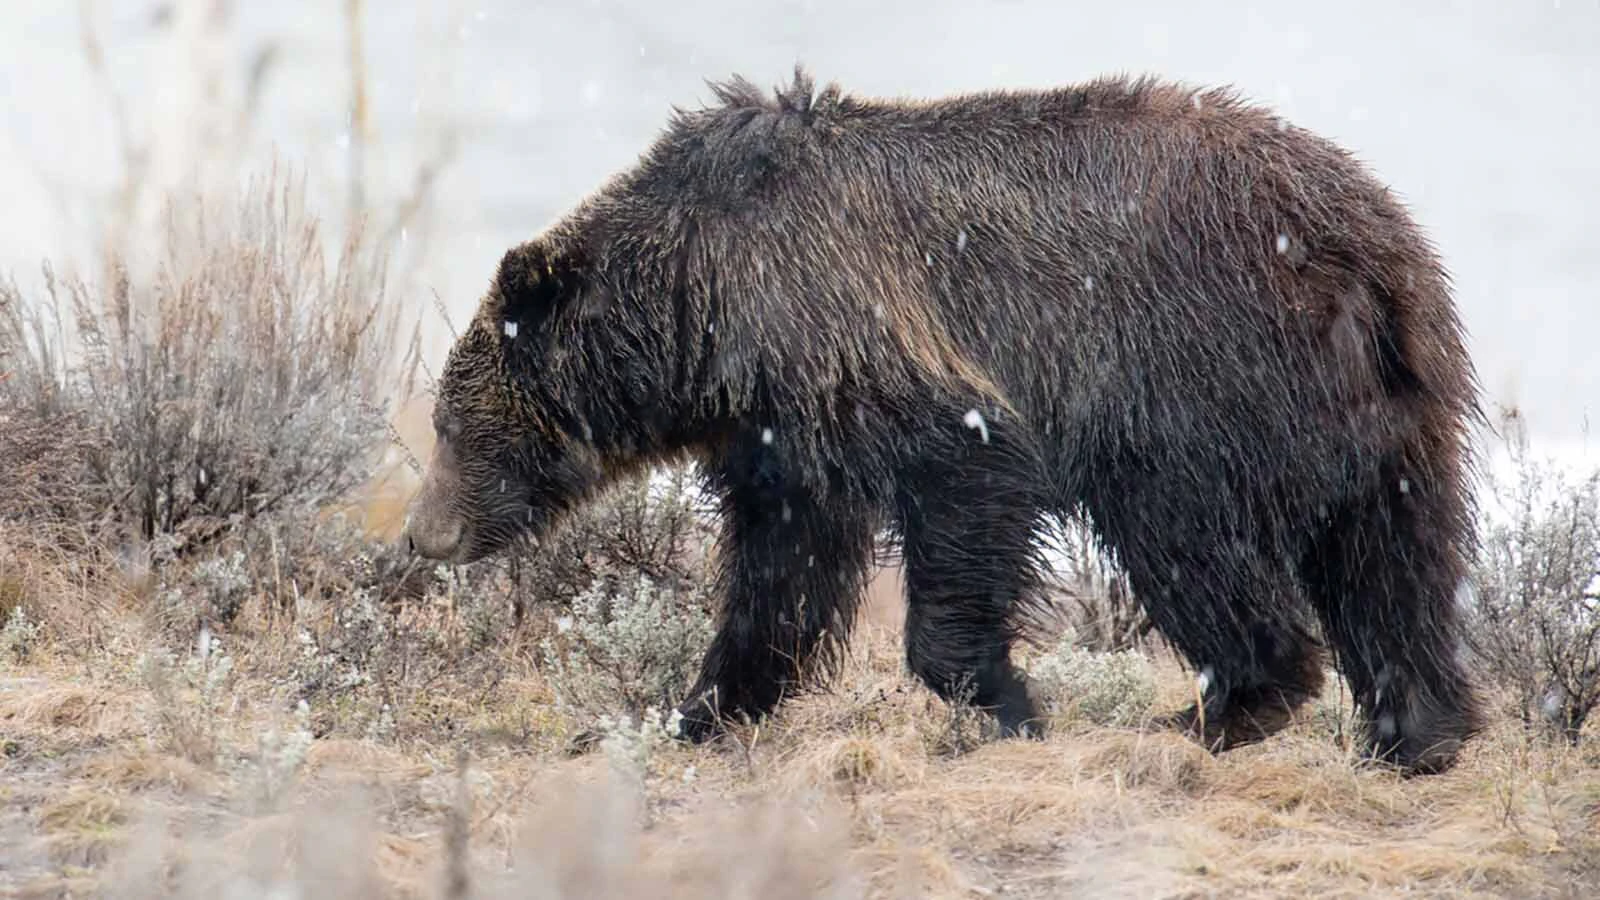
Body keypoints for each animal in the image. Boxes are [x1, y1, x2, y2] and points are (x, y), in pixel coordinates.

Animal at [402, 67, 1486, 775]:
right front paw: (702, 709)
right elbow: (779, 575)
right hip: (1397, 402)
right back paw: (1417, 733)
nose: (423, 533)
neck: (702, 309)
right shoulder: (784, 432)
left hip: (1196, 364)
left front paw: (1007, 704)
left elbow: (968, 479)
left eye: (450, 427)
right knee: (1394, 556)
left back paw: (1222, 710)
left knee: (1182, 530)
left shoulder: (869, 336)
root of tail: (1367, 248)